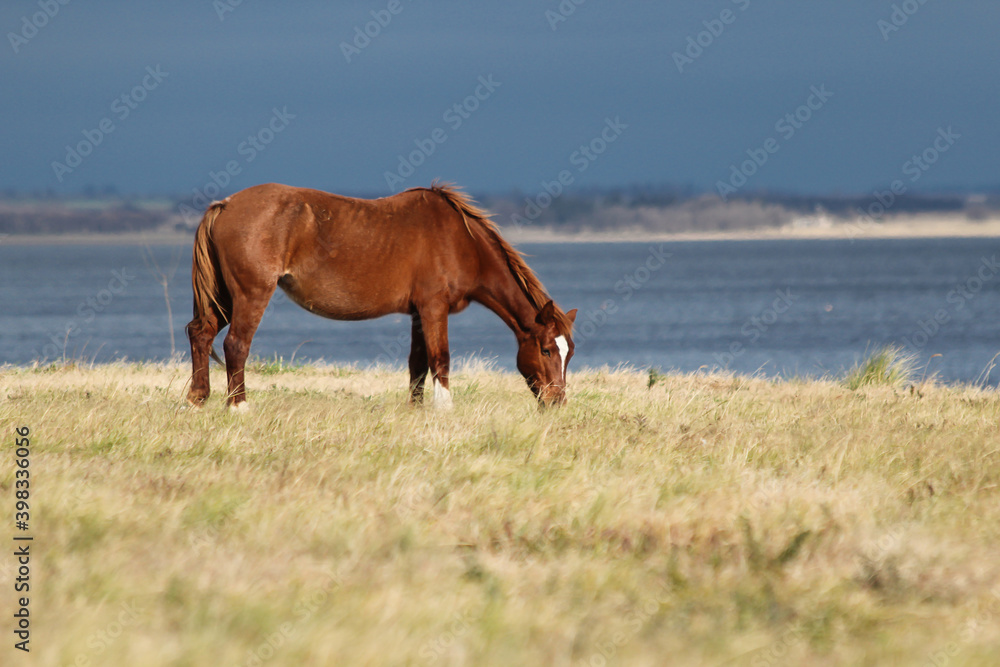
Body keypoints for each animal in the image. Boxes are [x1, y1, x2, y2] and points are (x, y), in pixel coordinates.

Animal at [185, 182, 577, 410]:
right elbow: (441, 359)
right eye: (546, 350)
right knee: (236, 345)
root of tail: (226, 205)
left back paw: (197, 400)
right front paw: (445, 412)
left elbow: (418, 364)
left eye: (568, 353)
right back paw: (239, 407)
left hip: (224, 296)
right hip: (251, 293)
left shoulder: (419, 313)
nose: (557, 401)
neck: (459, 241)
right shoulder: (434, 308)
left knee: (201, 334)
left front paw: (416, 411)